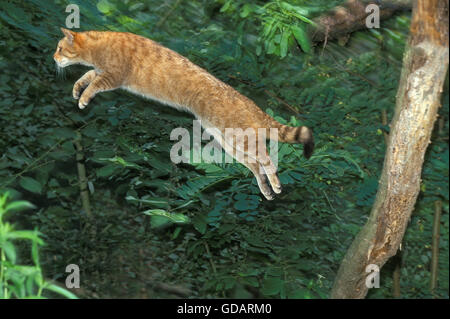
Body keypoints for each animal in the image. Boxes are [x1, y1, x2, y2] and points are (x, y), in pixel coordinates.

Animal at [54, 28, 314, 201]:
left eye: (59, 48)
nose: (54, 57)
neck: (99, 45)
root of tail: (250, 103)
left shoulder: (112, 76)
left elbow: (92, 85)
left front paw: (83, 99)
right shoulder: (102, 72)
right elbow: (86, 77)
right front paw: (76, 89)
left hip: (240, 139)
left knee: (267, 159)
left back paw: (275, 185)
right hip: (230, 142)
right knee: (255, 165)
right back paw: (267, 190)